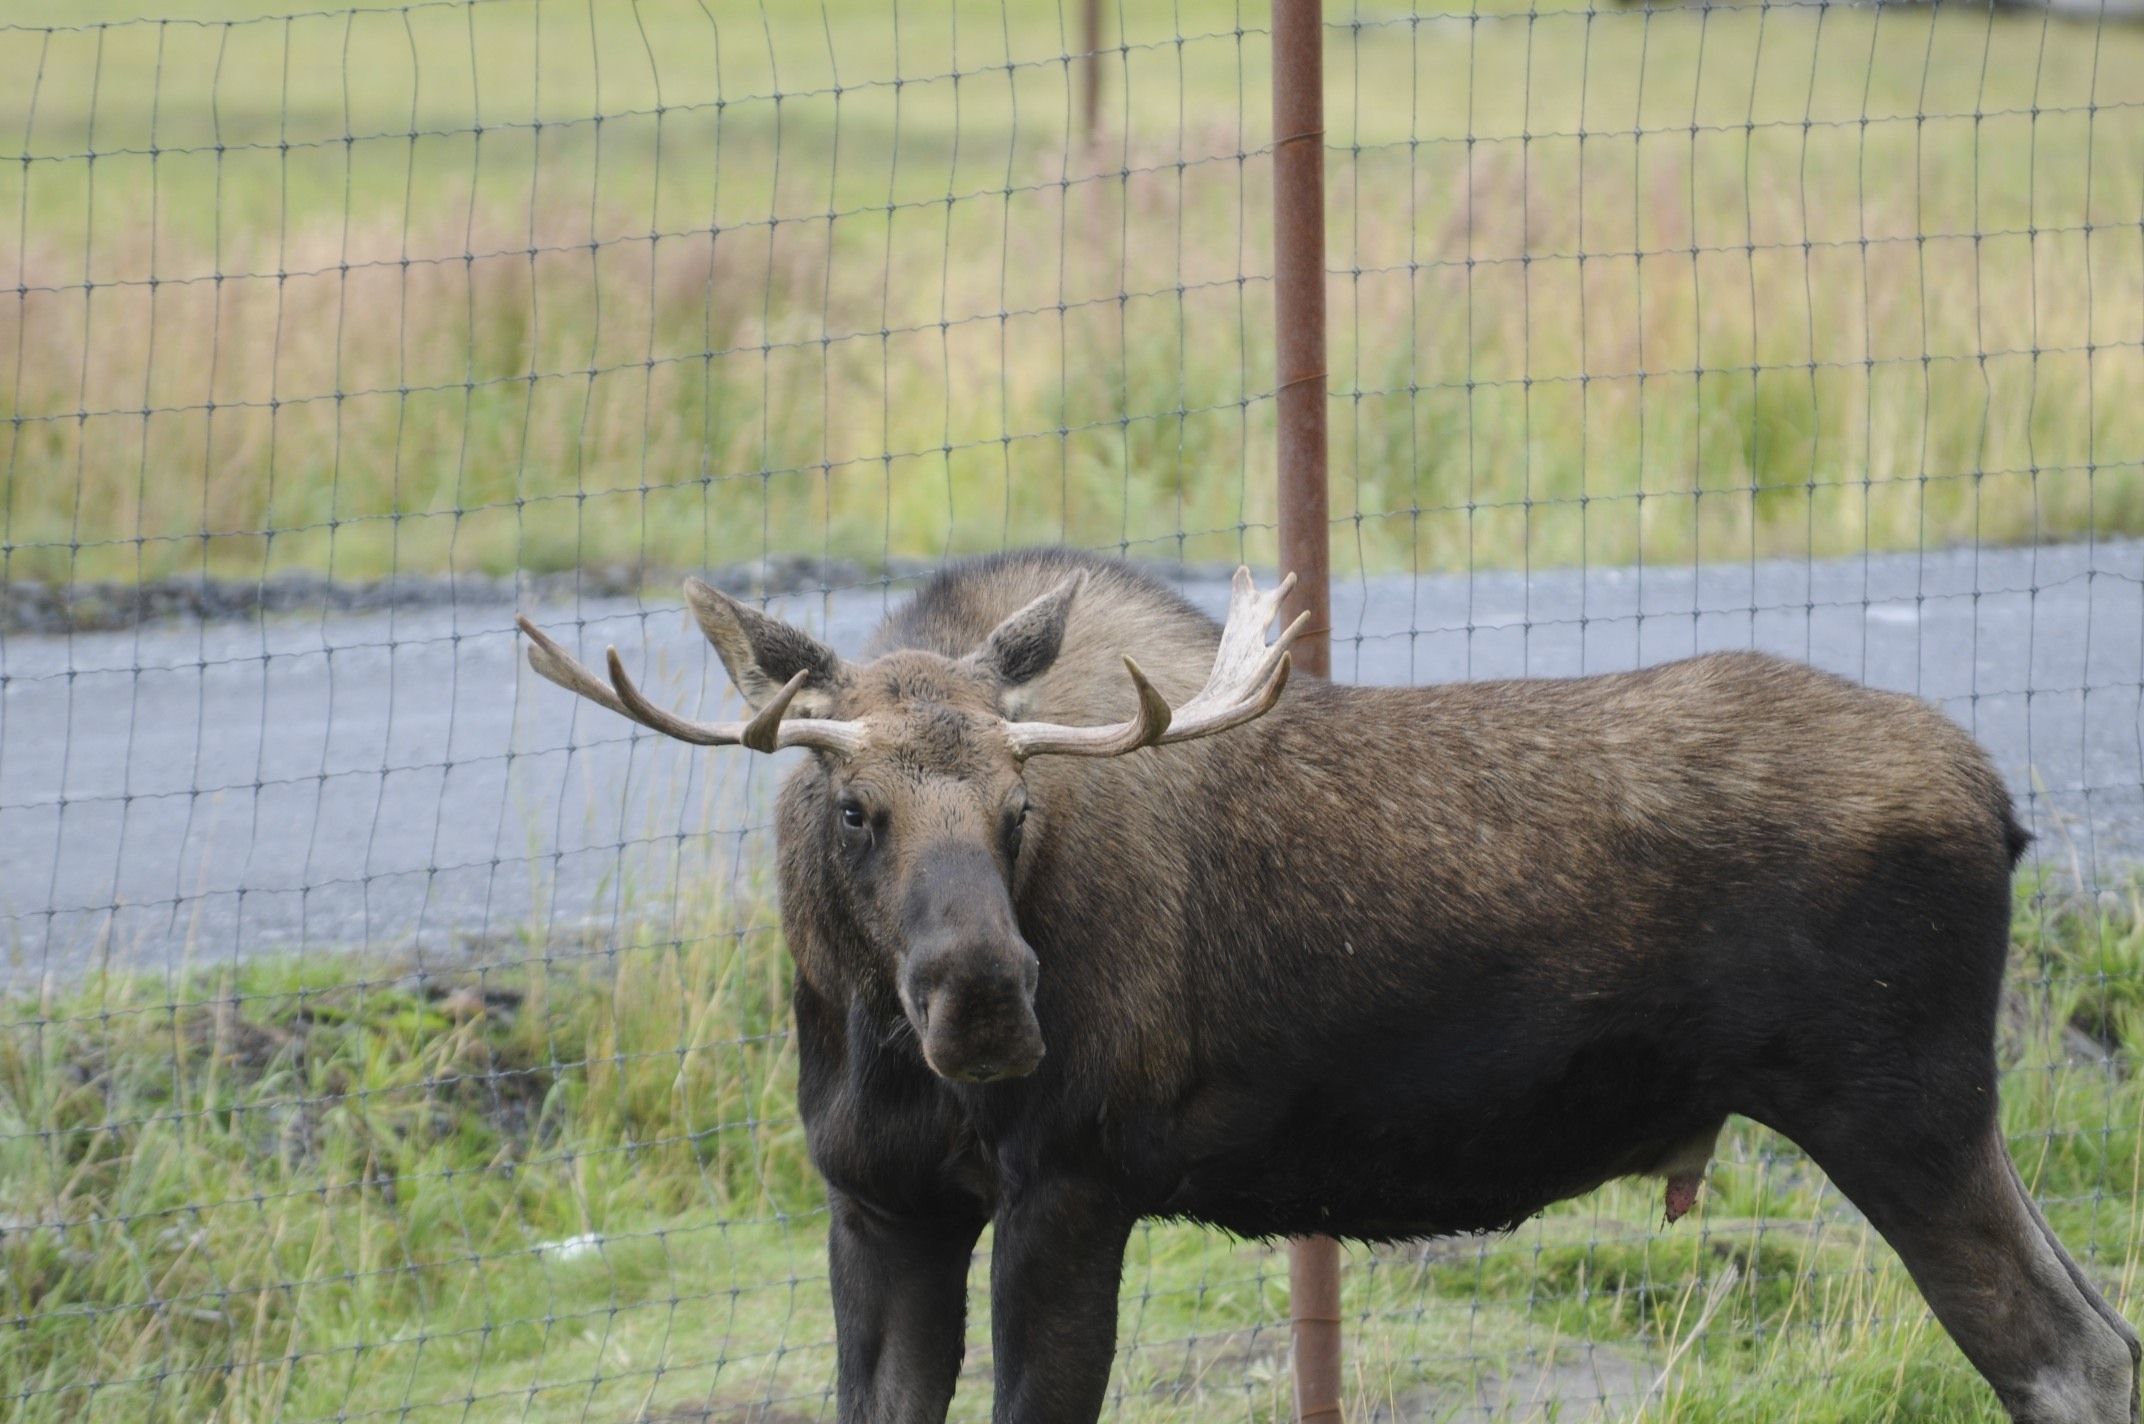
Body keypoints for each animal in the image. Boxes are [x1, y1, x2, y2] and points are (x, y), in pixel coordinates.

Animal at [523, 546, 2144, 1423]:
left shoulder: (1074, 1184)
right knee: (2104, 1336)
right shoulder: (879, 1202)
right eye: (852, 808)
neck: (858, 1029)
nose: (984, 999)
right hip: (1947, 1117)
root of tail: (2005, 806)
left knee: (2064, 1358)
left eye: (1018, 807)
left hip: (1898, 1111)